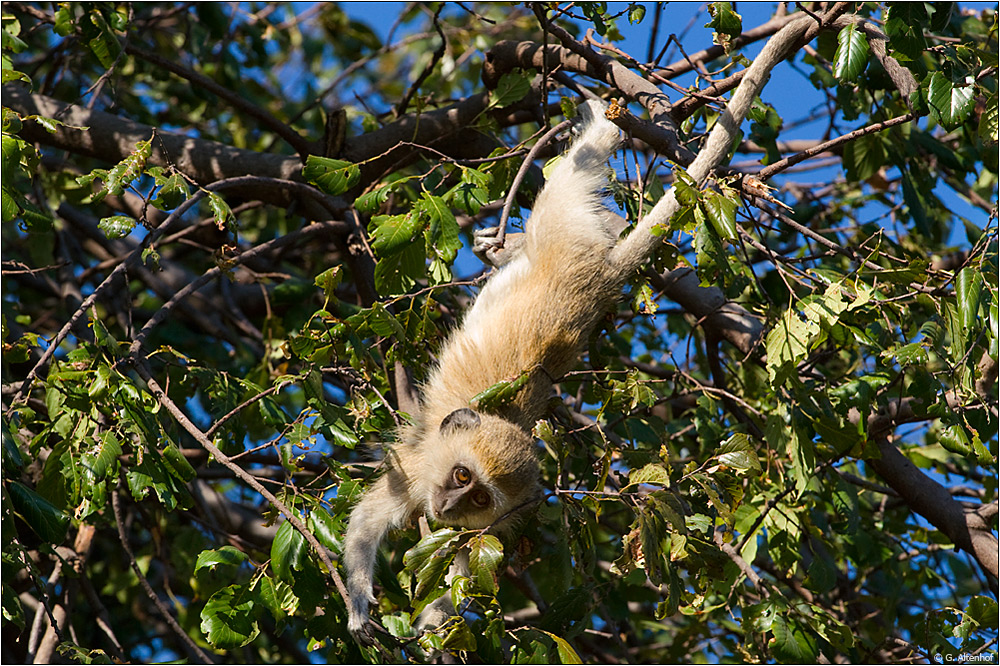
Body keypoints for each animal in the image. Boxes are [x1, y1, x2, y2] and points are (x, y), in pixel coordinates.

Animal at [346, 98, 624, 640]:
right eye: (460, 476)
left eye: (478, 500)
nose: (449, 508)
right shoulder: (417, 471)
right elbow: (367, 521)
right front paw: (359, 601)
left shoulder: (485, 525)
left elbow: (462, 567)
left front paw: (433, 627)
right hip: (563, 231)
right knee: (571, 181)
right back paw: (600, 128)